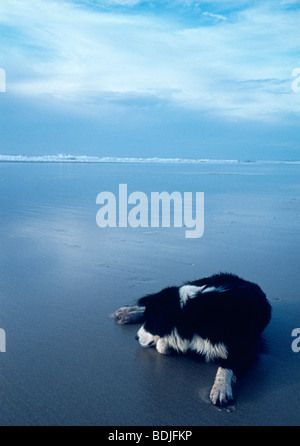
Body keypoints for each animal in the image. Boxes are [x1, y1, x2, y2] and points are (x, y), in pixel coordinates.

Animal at [113, 274, 272, 406]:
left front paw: (221, 389)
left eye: (151, 323)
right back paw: (127, 313)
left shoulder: (243, 349)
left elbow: (226, 367)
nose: (136, 337)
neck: (191, 313)